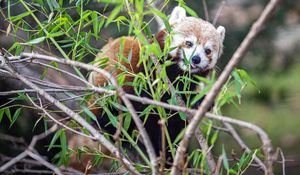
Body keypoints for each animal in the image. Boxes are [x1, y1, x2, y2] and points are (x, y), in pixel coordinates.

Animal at [70, 5, 225, 171]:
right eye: (189, 43)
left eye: (208, 50)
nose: (196, 59)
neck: (178, 72)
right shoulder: (148, 73)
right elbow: (154, 103)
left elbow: (174, 121)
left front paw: (200, 102)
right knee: (109, 113)